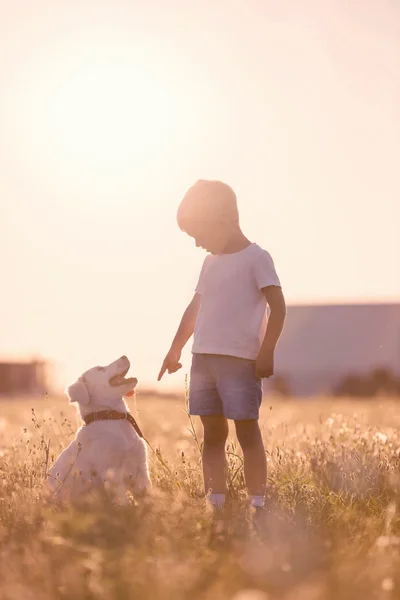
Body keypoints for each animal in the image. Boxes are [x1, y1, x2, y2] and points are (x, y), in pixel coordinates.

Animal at [46, 354, 152, 504]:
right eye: (100, 369)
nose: (124, 355)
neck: (112, 417)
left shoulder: (142, 468)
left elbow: (147, 495)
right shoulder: (111, 473)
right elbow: (122, 500)